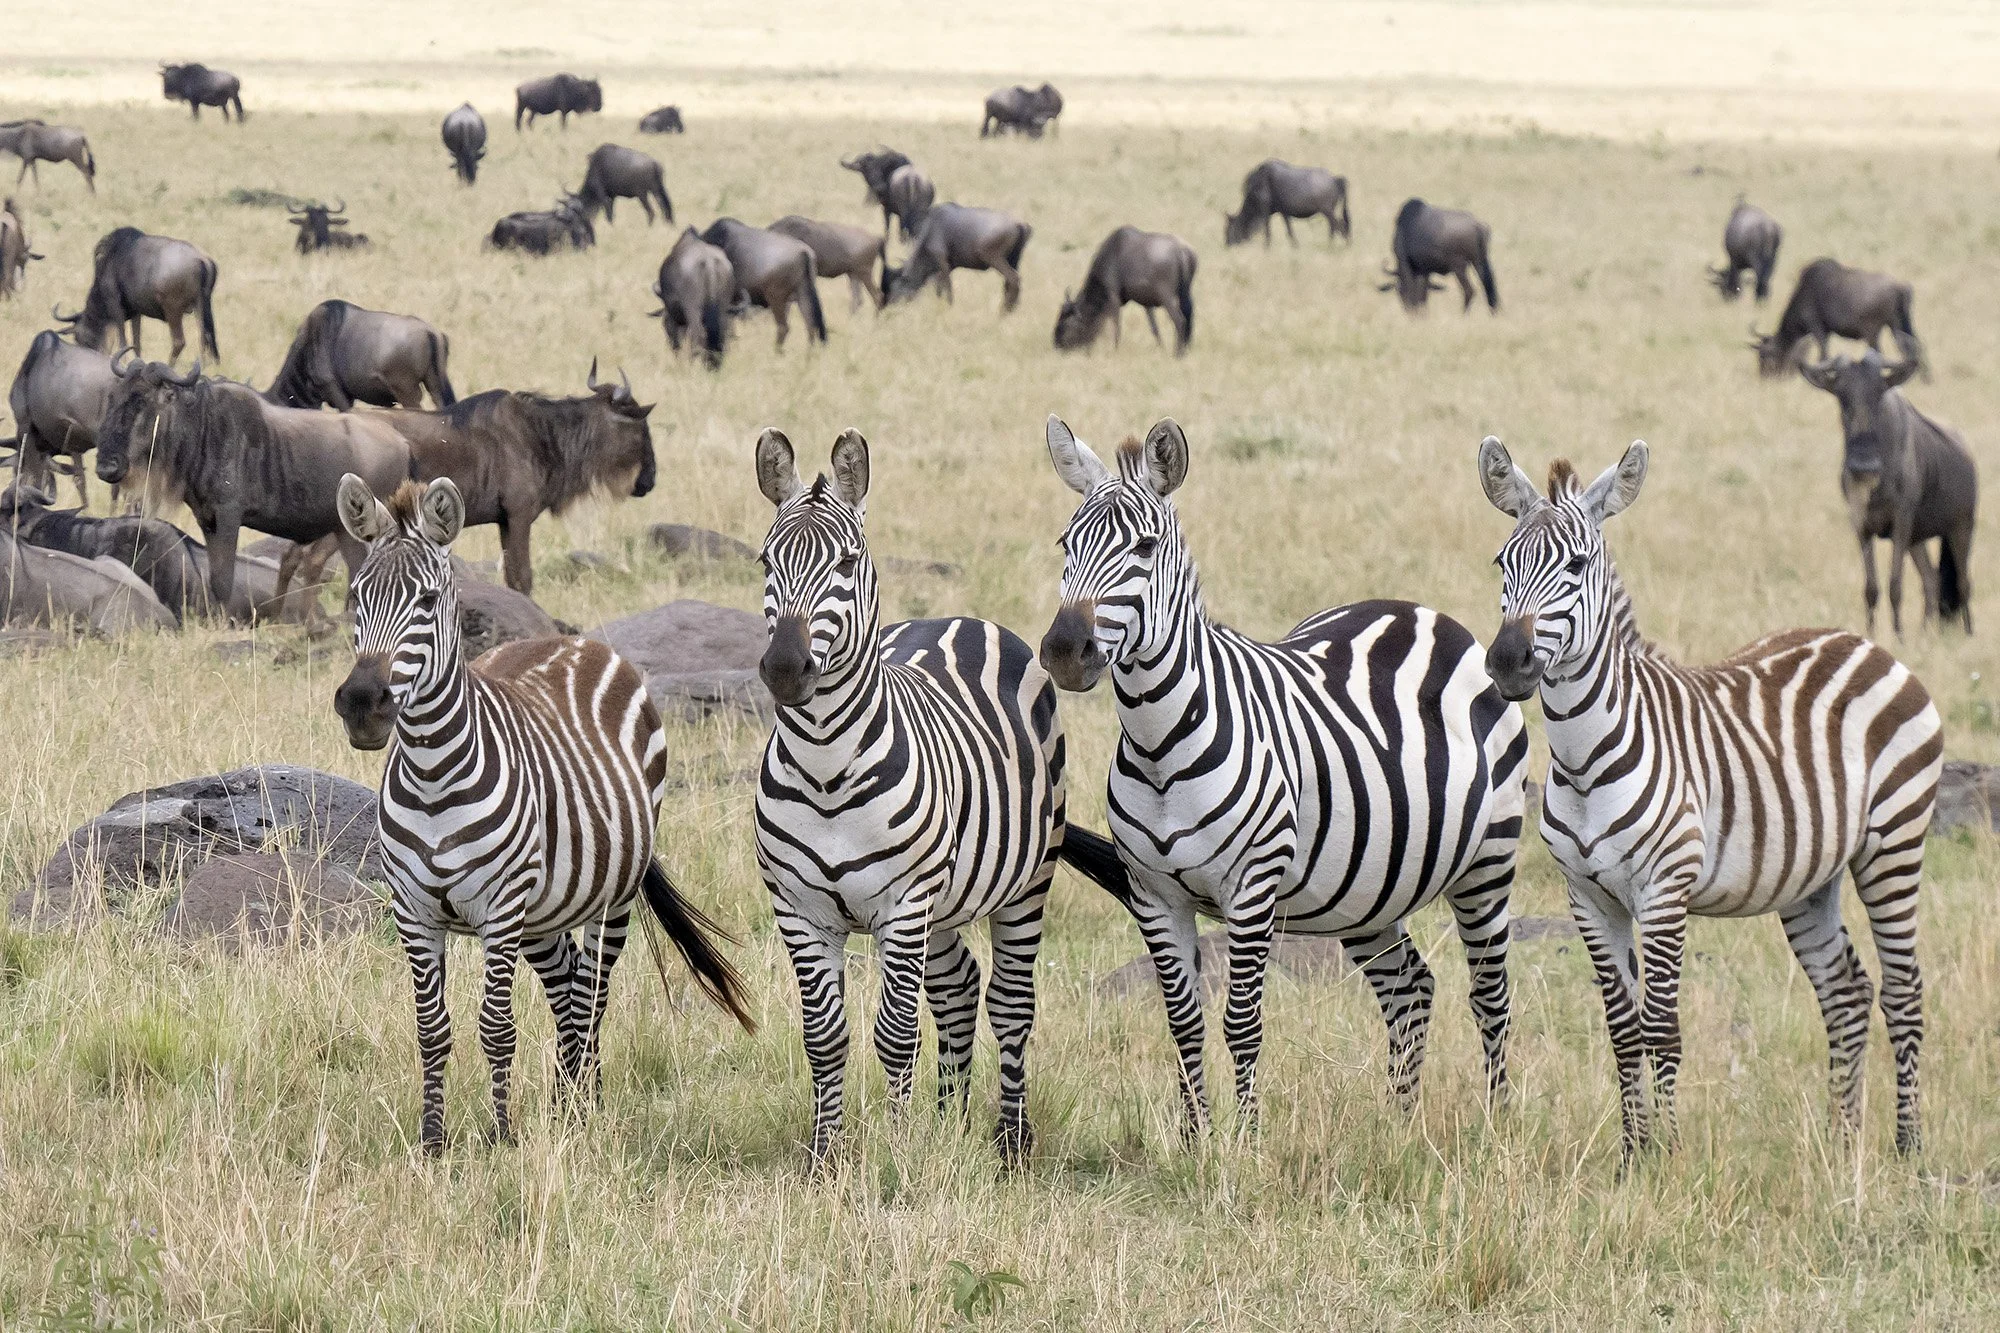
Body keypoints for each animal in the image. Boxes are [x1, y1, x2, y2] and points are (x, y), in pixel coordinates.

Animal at [331, 474, 756, 1156]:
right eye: (355, 598)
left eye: (427, 600)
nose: (364, 704)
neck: (431, 773)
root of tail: (572, 638)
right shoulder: (414, 911)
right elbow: (431, 1028)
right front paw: (432, 1142)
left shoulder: (500, 908)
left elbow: (496, 1026)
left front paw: (502, 1137)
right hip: (543, 912)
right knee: (567, 988)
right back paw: (567, 1099)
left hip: (609, 898)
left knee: (592, 994)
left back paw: (584, 1108)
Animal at [751, 427, 1128, 1168]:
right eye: (765, 560)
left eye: (846, 562)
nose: (784, 668)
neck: (825, 767)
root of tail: (960, 618)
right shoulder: (798, 908)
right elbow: (824, 1037)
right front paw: (826, 1156)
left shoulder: (902, 904)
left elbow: (894, 1035)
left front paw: (897, 1155)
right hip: (947, 900)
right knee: (957, 987)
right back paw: (947, 1121)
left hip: (1020, 882)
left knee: (1010, 1002)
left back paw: (1010, 1141)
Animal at [1037, 416, 1528, 1139]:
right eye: (1066, 545)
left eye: (1146, 548)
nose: (1064, 652)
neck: (1159, 748)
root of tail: (1419, 612)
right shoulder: (1154, 894)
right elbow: (1183, 1023)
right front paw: (1194, 1139)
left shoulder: (1251, 887)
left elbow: (1241, 1023)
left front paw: (1243, 1141)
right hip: (1366, 889)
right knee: (1411, 988)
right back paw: (1397, 1129)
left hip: (1487, 861)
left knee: (1489, 995)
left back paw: (1496, 1126)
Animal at [1476, 437, 1942, 1164]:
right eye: (1503, 562)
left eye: (1577, 565)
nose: (1507, 661)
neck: (1582, 761)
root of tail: (1863, 643)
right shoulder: (1587, 897)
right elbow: (1622, 1027)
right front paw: (1631, 1156)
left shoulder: (1665, 890)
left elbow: (1661, 1026)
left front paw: (1666, 1155)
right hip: (1811, 876)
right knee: (1847, 991)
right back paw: (1840, 1143)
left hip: (1894, 844)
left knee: (1902, 990)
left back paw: (1907, 1148)